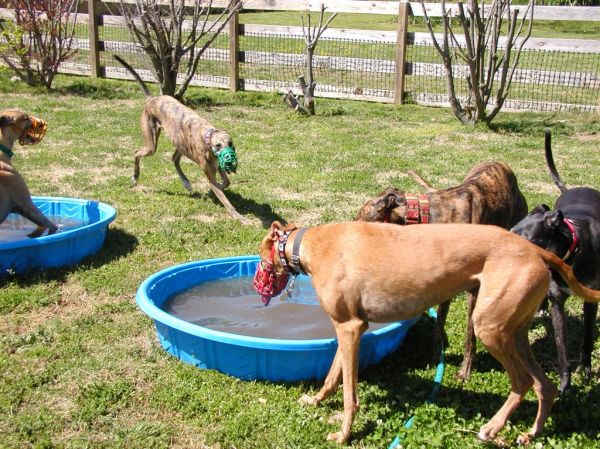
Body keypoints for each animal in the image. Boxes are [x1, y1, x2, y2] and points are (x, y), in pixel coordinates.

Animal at [510, 130, 600, 392]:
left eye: (529, 241)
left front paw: (585, 369)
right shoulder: (557, 301)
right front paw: (565, 382)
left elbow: (588, 337)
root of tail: (571, 188)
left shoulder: (591, 297)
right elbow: (561, 347)